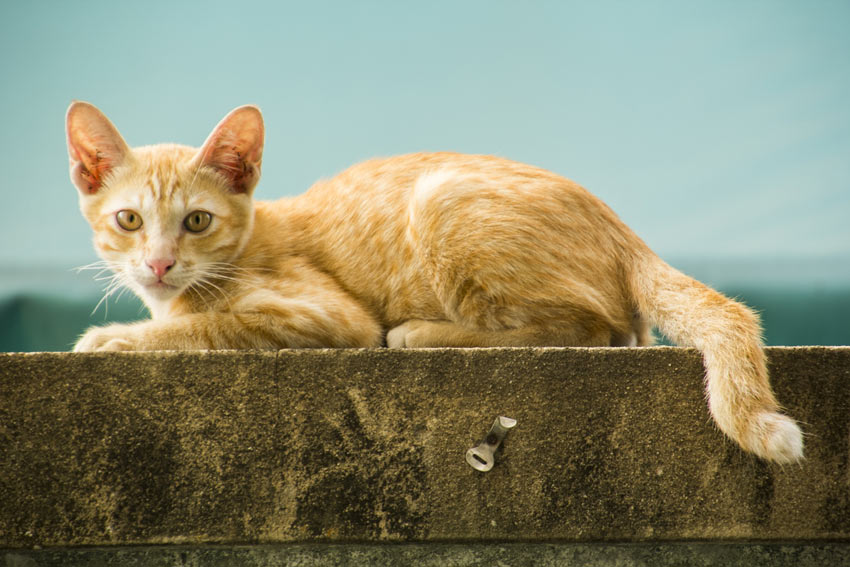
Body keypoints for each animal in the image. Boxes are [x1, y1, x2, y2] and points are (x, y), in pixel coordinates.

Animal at [66, 101, 800, 466]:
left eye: (197, 220)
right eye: (129, 220)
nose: (159, 264)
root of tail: (625, 232)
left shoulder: (326, 315)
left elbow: (206, 324)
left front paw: (114, 337)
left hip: (441, 196)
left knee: (587, 326)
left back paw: (422, 331)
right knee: (624, 333)